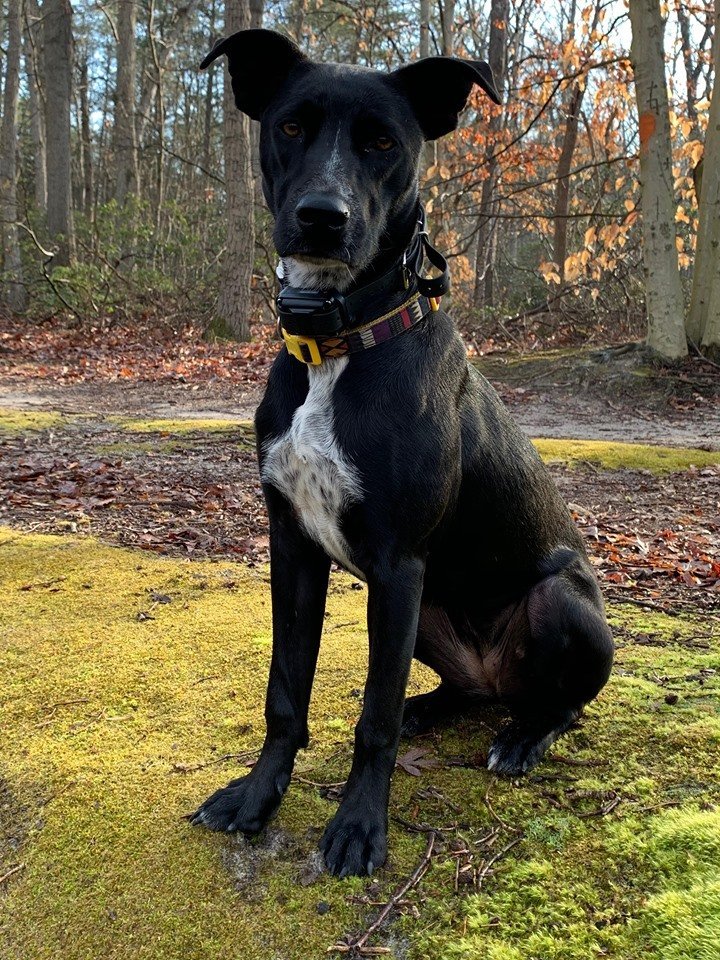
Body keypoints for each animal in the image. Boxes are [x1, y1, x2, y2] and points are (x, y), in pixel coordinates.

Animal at [193, 30, 612, 880]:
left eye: (384, 142)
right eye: (292, 126)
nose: (322, 219)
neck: (338, 341)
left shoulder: (397, 562)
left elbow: (372, 717)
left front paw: (359, 827)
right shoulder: (295, 547)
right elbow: (284, 693)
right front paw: (258, 795)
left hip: (551, 602)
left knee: (560, 705)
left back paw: (524, 738)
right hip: (421, 616)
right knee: (467, 693)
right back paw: (436, 707)